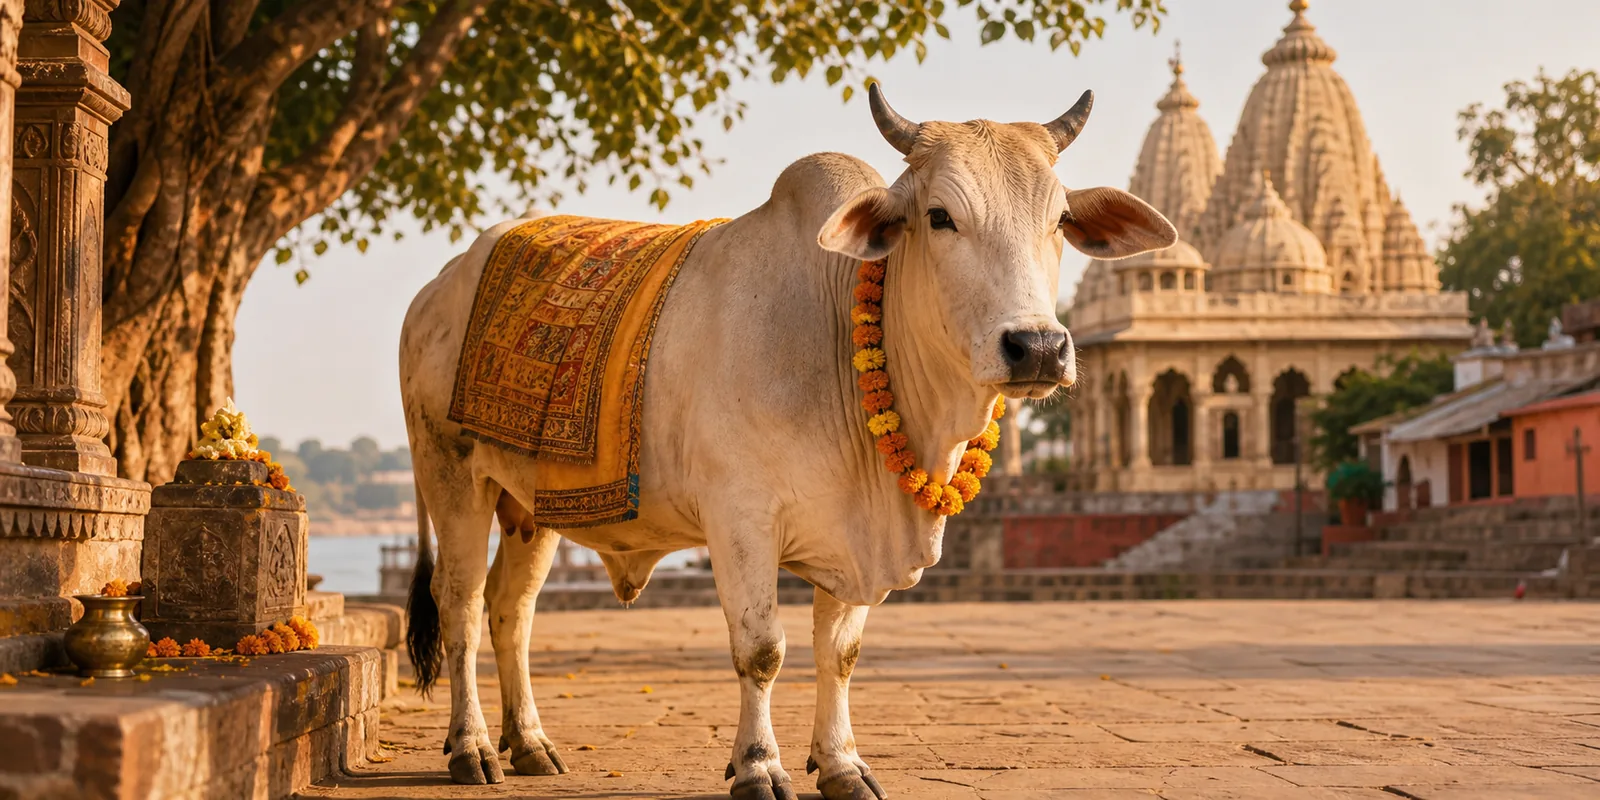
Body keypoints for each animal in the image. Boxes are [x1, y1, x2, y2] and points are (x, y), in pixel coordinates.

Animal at [398, 84, 1175, 798]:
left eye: (1060, 220)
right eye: (940, 216)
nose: (1038, 347)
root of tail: (437, 287)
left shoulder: (853, 534)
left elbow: (841, 653)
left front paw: (842, 765)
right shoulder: (741, 520)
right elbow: (762, 650)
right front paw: (758, 767)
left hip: (531, 505)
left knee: (512, 609)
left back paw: (530, 743)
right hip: (453, 476)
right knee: (461, 604)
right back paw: (472, 749)